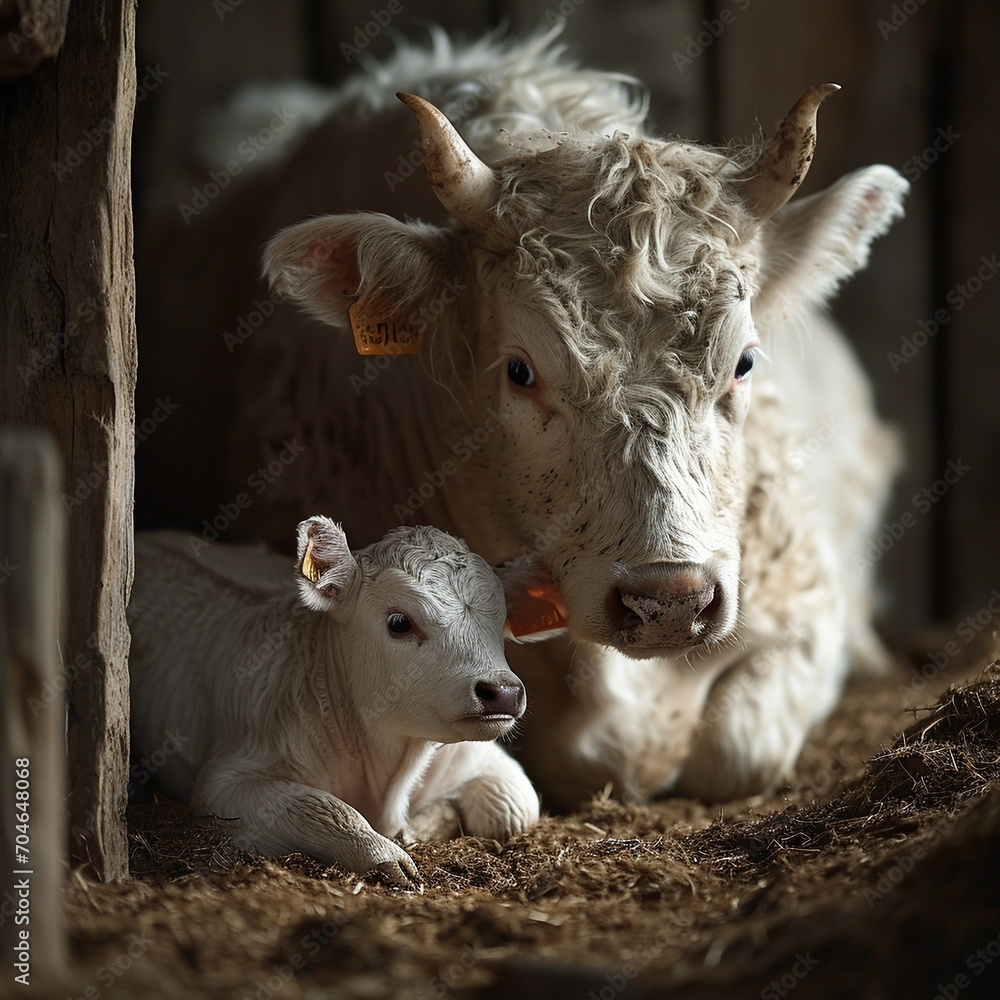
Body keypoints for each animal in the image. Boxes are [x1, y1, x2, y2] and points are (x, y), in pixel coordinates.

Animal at [132, 516, 544, 884]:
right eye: (399, 622)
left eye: (501, 622)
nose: (504, 692)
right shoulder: (226, 781)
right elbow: (323, 808)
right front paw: (385, 853)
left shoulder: (487, 763)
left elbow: (514, 807)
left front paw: (418, 828)